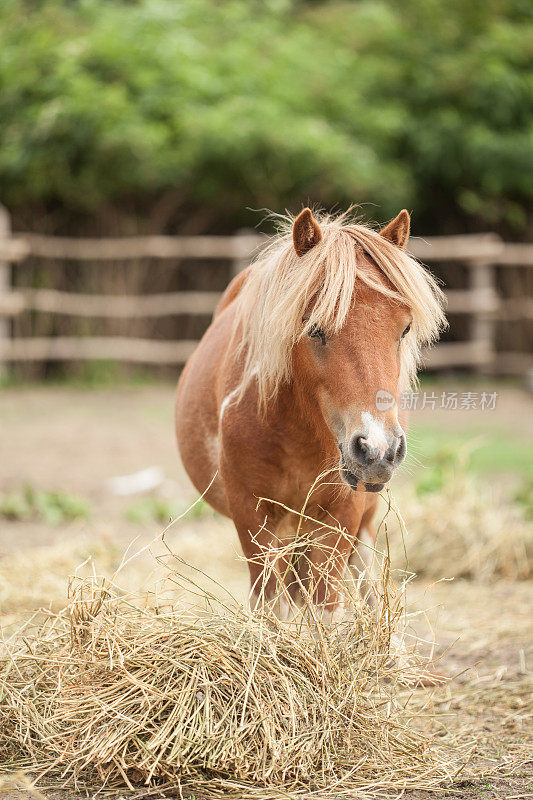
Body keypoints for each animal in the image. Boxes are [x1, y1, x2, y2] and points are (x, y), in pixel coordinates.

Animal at [175, 206, 444, 620]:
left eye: (405, 329)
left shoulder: (342, 515)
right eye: (315, 329)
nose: (378, 450)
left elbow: (326, 609)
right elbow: (273, 609)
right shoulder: (253, 517)